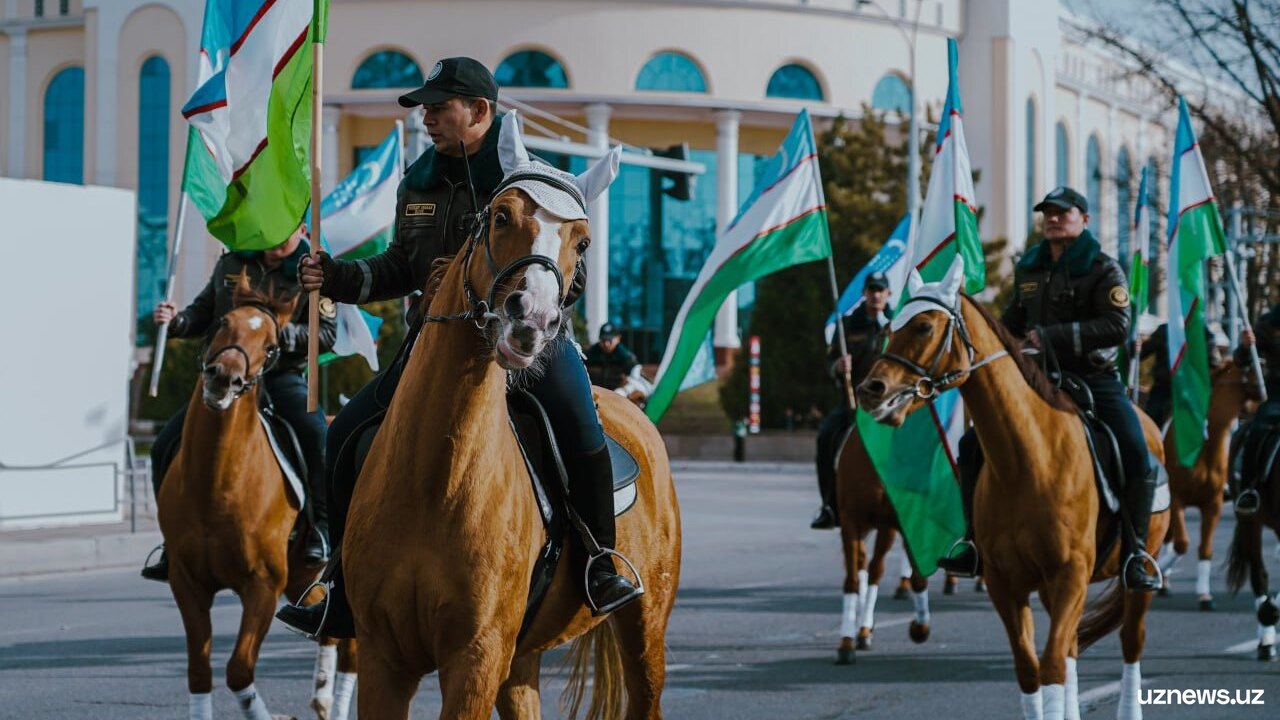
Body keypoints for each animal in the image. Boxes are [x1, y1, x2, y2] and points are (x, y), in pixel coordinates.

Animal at [341, 115, 681, 719]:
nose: (532, 320)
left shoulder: (475, 659)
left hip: (645, 630)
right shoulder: (383, 659)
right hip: (521, 660)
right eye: (500, 216)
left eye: (583, 241)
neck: (435, 478)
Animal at [832, 428, 932, 665]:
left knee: (875, 568)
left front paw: (920, 628)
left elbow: (911, 577)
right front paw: (846, 642)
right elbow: (852, 580)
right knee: (862, 564)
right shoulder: (850, 522)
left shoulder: (893, 525)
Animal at [856, 260, 1169, 720]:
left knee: (1131, 643)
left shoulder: (1069, 575)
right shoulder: (1007, 584)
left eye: (924, 326)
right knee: (1072, 648)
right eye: (890, 325)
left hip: (1133, 579)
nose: (870, 390)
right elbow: (1030, 669)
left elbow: (1052, 665)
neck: (1028, 462)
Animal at [1158, 359, 1262, 609]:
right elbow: (1181, 544)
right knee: (1170, 538)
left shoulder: (1212, 504)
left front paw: (1205, 595)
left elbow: (1205, 549)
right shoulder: (1176, 500)